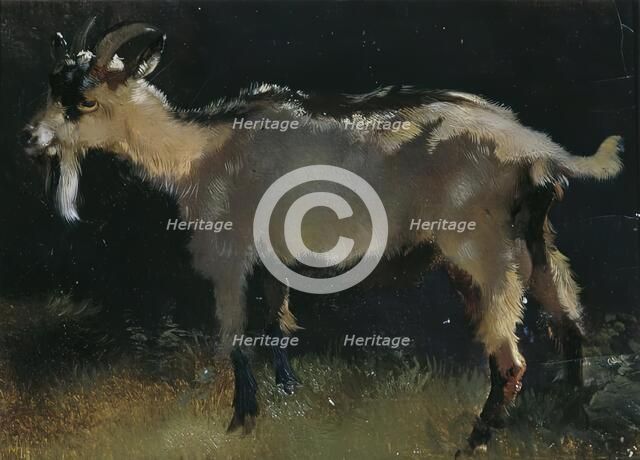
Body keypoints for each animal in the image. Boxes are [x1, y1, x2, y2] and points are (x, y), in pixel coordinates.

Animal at [21, 20, 623, 454]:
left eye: (85, 101)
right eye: (51, 87)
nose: (29, 137)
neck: (201, 147)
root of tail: (537, 148)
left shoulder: (227, 251)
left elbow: (236, 337)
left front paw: (242, 421)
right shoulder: (273, 255)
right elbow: (277, 324)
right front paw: (288, 399)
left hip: (482, 246)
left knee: (511, 359)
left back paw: (474, 442)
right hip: (534, 239)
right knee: (570, 323)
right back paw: (568, 420)